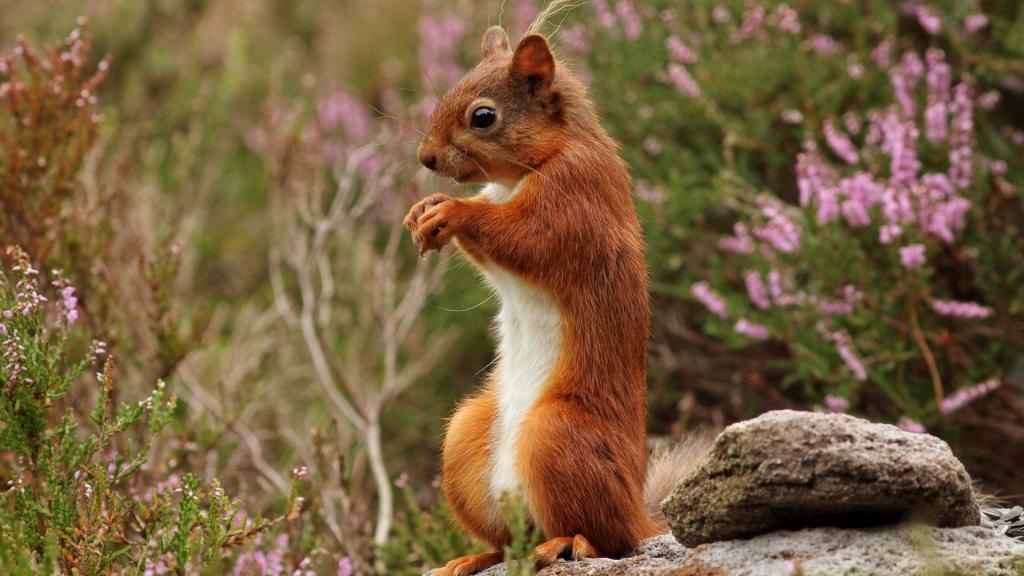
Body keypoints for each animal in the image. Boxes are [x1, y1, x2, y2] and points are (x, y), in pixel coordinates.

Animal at [403, 23, 706, 576]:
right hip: (463, 439)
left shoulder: (574, 203)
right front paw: (425, 209)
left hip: (556, 434)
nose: (426, 159)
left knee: (605, 538)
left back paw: (567, 544)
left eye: (483, 116)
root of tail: (639, 515)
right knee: (510, 540)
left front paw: (451, 211)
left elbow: (526, 238)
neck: (523, 172)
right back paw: (475, 555)